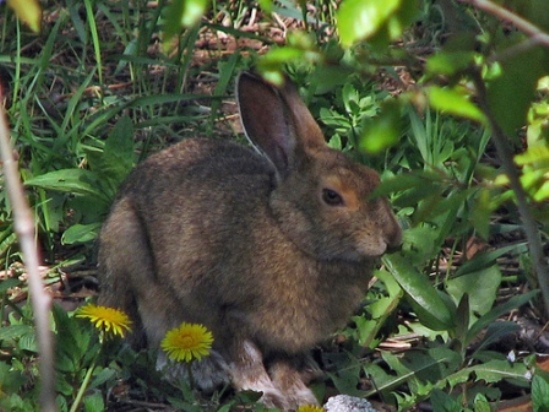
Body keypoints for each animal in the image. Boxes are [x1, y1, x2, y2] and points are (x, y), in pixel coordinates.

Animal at [96, 71, 400, 408]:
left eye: (375, 178)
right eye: (331, 196)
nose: (393, 238)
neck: (292, 235)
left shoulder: (289, 337)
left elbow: (284, 363)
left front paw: (298, 396)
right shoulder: (229, 312)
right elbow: (246, 357)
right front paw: (267, 395)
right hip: (130, 249)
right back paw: (203, 371)